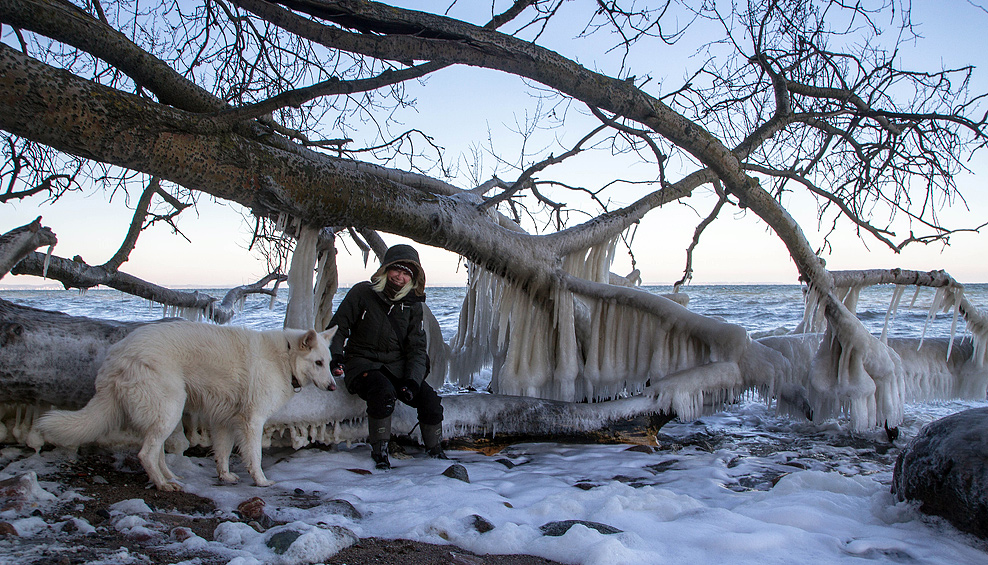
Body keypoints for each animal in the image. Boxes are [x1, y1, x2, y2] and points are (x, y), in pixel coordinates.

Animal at [34, 322, 338, 490]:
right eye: (318, 363)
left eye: (329, 362)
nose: (334, 387)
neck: (284, 358)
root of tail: (117, 355)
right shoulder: (252, 421)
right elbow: (254, 457)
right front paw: (261, 482)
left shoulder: (223, 421)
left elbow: (222, 453)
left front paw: (225, 477)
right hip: (170, 408)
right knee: (146, 454)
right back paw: (163, 484)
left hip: (165, 413)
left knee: (155, 451)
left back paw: (171, 477)